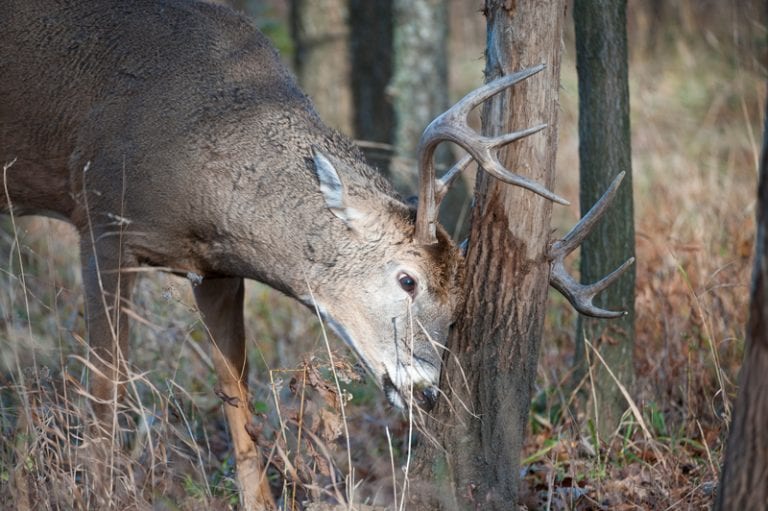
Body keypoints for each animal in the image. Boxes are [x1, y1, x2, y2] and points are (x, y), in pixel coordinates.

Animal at [0, 0, 632, 509]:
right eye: (407, 280)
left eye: (458, 306)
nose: (427, 391)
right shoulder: (102, 218)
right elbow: (104, 385)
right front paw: (96, 489)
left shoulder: (216, 270)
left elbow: (238, 398)